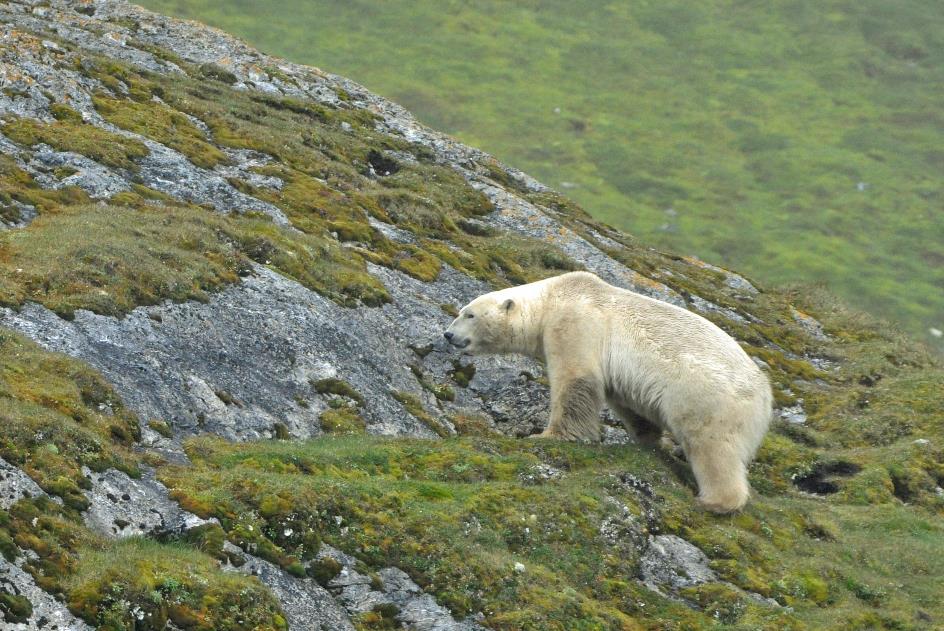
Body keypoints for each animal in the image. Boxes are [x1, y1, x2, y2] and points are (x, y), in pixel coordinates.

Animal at [446, 272, 772, 512]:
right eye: (461, 311)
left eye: (469, 314)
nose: (448, 334)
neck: (552, 298)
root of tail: (765, 396)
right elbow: (629, 405)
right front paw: (648, 439)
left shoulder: (575, 321)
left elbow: (576, 378)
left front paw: (548, 435)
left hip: (706, 397)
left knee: (711, 446)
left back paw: (714, 501)